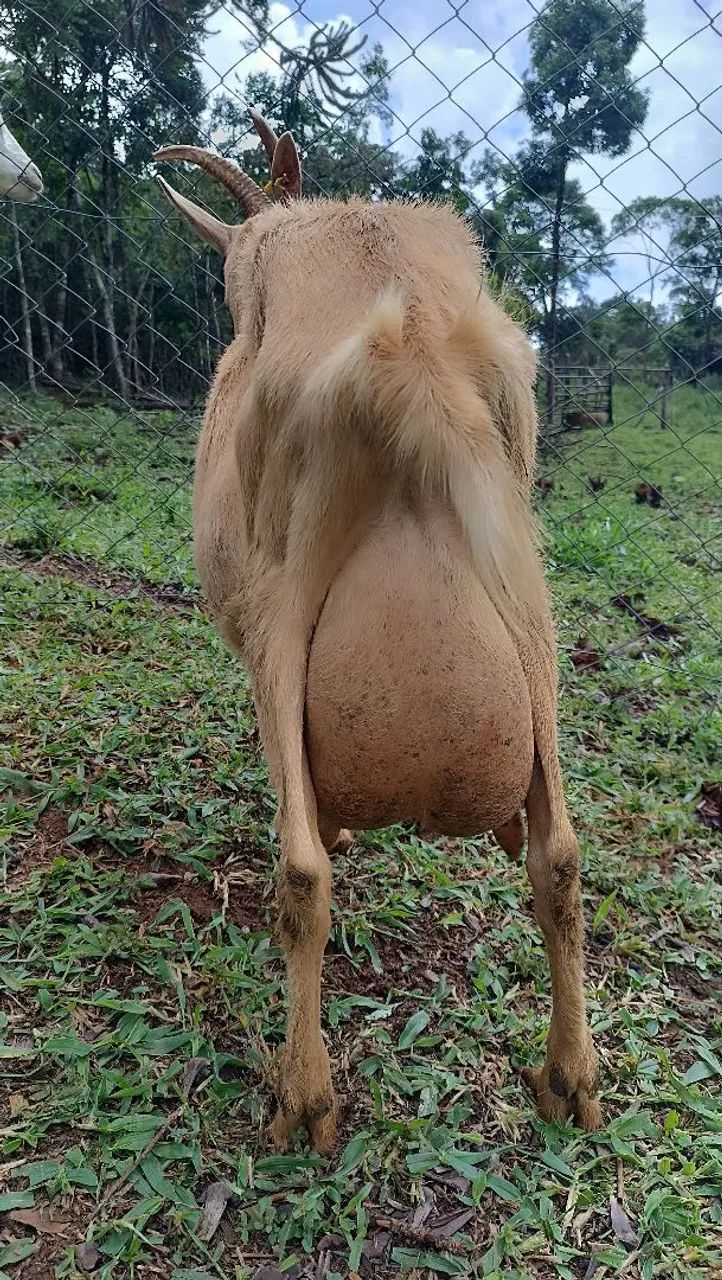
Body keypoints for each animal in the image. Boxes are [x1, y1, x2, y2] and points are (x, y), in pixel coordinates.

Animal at [155, 116, 600, 1153]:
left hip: (279, 610)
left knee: (301, 870)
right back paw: (569, 1079)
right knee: (558, 857)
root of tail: (416, 357)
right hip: (530, 608)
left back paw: (305, 1098)